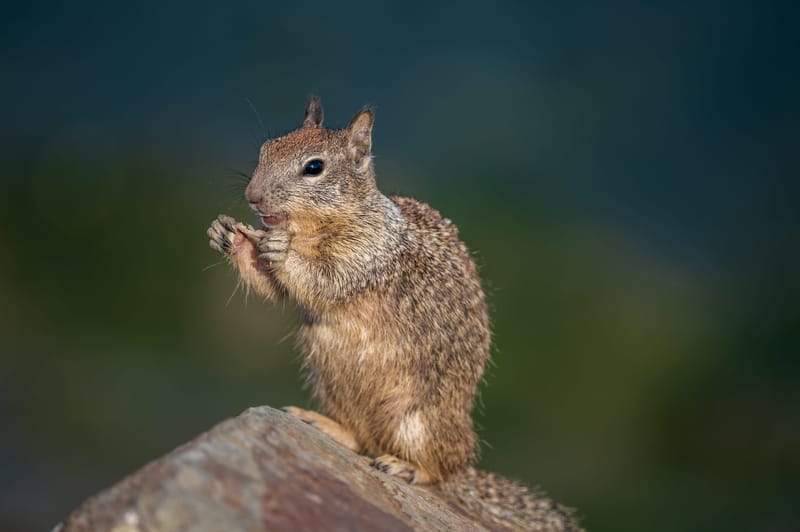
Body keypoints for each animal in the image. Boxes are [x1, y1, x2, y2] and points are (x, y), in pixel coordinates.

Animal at [207, 97, 579, 530]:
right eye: (267, 148)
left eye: (314, 167)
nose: (253, 196)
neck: (313, 228)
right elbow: (276, 289)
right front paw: (227, 234)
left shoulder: (369, 256)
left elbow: (324, 279)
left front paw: (281, 250)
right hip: (335, 389)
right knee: (360, 439)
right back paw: (324, 424)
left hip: (420, 422)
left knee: (439, 470)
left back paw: (407, 467)